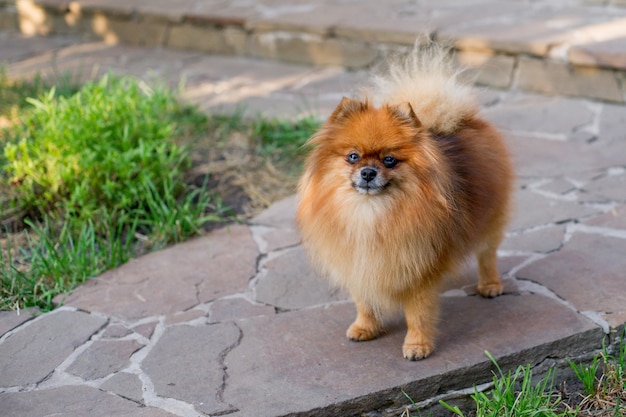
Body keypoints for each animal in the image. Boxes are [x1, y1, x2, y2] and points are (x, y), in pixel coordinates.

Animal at [294, 43, 510, 360]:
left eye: (389, 160)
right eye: (353, 156)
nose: (368, 172)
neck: (370, 212)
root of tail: (466, 120)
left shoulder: (419, 270)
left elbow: (418, 313)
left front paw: (417, 345)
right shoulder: (358, 260)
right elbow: (364, 300)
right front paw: (365, 327)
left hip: (490, 220)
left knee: (487, 254)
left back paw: (490, 285)